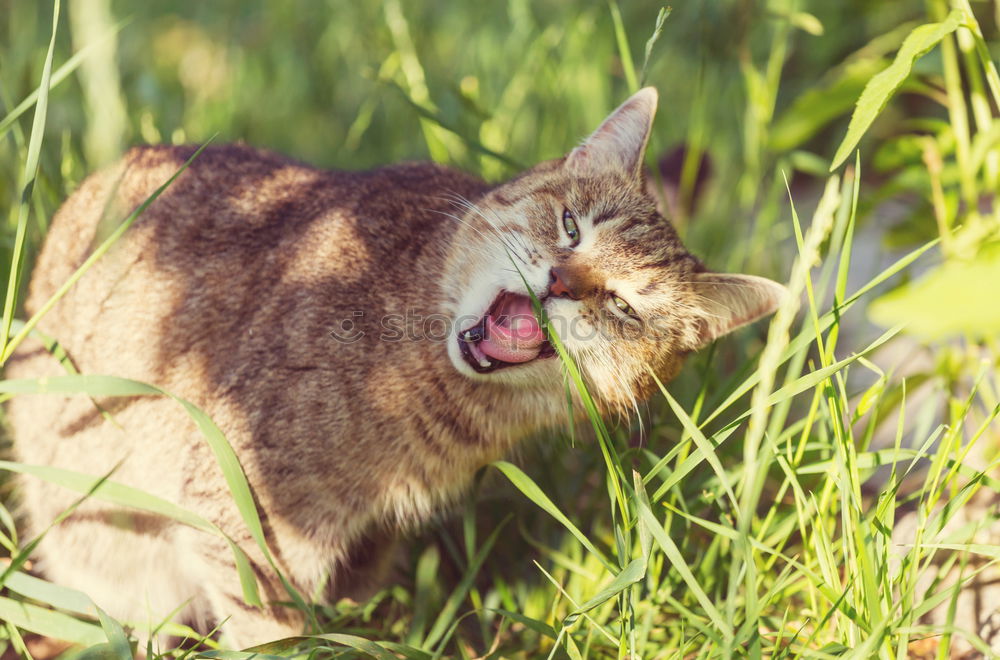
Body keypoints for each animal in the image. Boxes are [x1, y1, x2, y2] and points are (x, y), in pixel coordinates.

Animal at [5, 86, 788, 644]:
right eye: (571, 226)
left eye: (624, 306)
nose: (563, 282)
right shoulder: (243, 516)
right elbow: (269, 632)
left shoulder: (361, 542)